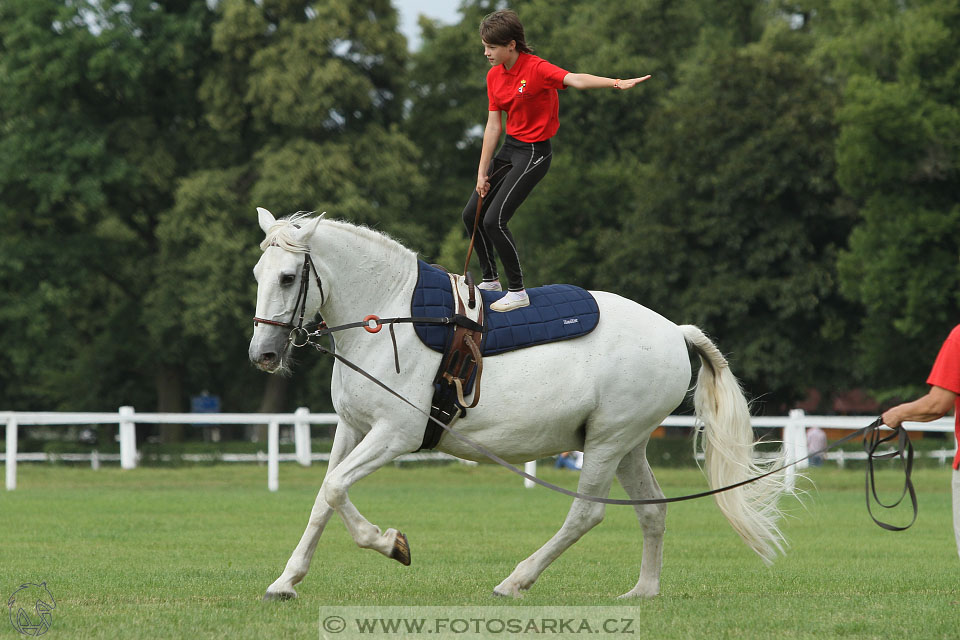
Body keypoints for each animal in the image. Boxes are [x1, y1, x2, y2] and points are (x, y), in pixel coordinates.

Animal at [249, 209, 788, 600]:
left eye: (288, 277)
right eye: (259, 273)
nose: (263, 355)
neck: (389, 316)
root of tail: (674, 331)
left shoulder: (395, 434)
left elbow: (336, 488)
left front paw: (390, 543)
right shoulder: (352, 428)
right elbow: (325, 498)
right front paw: (286, 581)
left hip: (607, 442)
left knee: (586, 514)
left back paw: (516, 580)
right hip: (629, 445)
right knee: (651, 510)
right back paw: (643, 592)